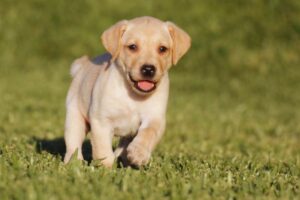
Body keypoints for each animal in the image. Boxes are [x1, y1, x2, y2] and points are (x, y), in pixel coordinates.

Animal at [63, 16, 190, 167]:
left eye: (162, 49)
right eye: (132, 47)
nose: (148, 69)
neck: (134, 95)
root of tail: (83, 66)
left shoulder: (155, 118)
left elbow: (148, 133)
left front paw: (138, 154)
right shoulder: (101, 121)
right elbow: (103, 149)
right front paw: (105, 168)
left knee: (123, 145)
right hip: (75, 117)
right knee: (73, 144)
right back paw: (73, 163)